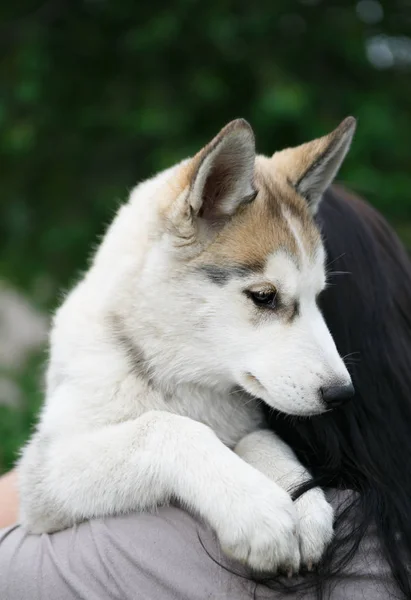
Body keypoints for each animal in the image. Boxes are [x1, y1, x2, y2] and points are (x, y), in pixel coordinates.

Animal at [17, 116, 356, 572]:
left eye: (317, 296)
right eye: (264, 296)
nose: (342, 394)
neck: (181, 379)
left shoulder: (244, 424)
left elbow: (258, 438)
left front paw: (300, 496)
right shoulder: (42, 477)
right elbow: (167, 427)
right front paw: (254, 506)